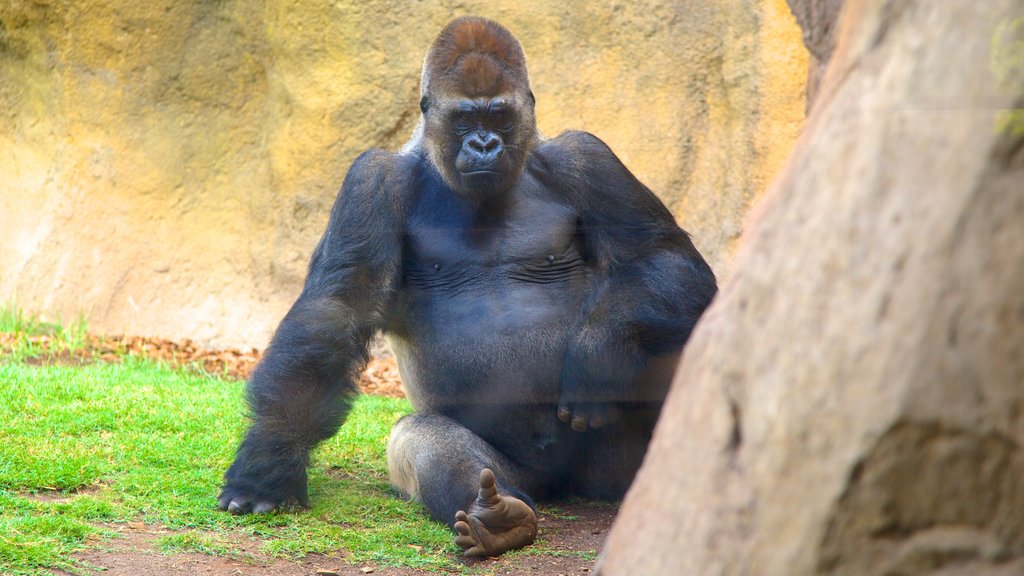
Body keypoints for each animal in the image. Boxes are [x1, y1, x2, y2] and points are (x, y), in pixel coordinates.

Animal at [218, 17, 712, 557]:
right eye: (463, 119)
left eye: (498, 116)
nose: (484, 145)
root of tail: (566, 487)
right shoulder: (372, 180)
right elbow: (338, 307)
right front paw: (269, 457)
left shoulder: (586, 157)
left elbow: (662, 258)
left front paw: (600, 352)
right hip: (523, 476)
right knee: (421, 438)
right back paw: (496, 517)